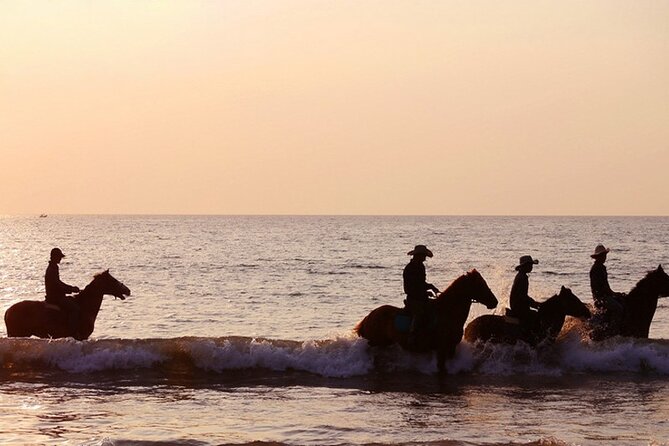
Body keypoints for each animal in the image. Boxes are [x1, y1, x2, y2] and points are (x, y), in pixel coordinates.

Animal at [354, 270, 496, 372]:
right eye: (480, 285)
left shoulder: (451, 348)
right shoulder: (442, 348)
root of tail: (370, 315)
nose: (495, 302)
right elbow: (441, 368)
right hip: (377, 340)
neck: (448, 311)